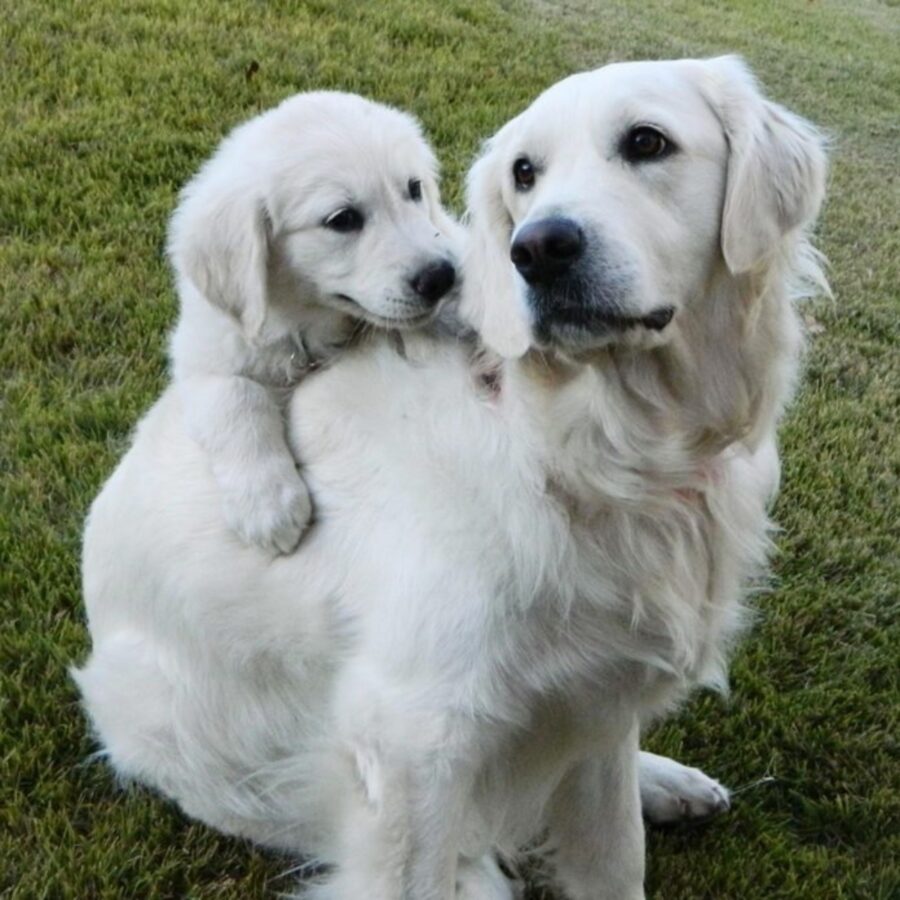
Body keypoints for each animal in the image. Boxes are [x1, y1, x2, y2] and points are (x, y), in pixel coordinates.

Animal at [168, 93, 460, 556]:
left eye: (414, 188)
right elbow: (237, 395)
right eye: (342, 219)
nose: (442, 278)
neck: (305, 324)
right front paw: (267, 503)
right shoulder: (202, 357)